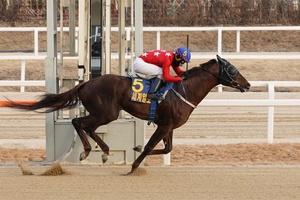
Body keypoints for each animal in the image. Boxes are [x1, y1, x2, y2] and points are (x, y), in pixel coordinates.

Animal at [4, 54, 251, 173]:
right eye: (233, 69)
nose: (247, 84)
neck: (184, 90)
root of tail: (86, 83)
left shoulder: (168, 125)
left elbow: (166, 148)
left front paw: (136, 148)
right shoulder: (164, 125)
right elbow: (152, 146)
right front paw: (133, 167)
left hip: (104, 114)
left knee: (86, 126)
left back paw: (103, 152)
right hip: (106, 113)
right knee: (78, 122)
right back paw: (89, 152)